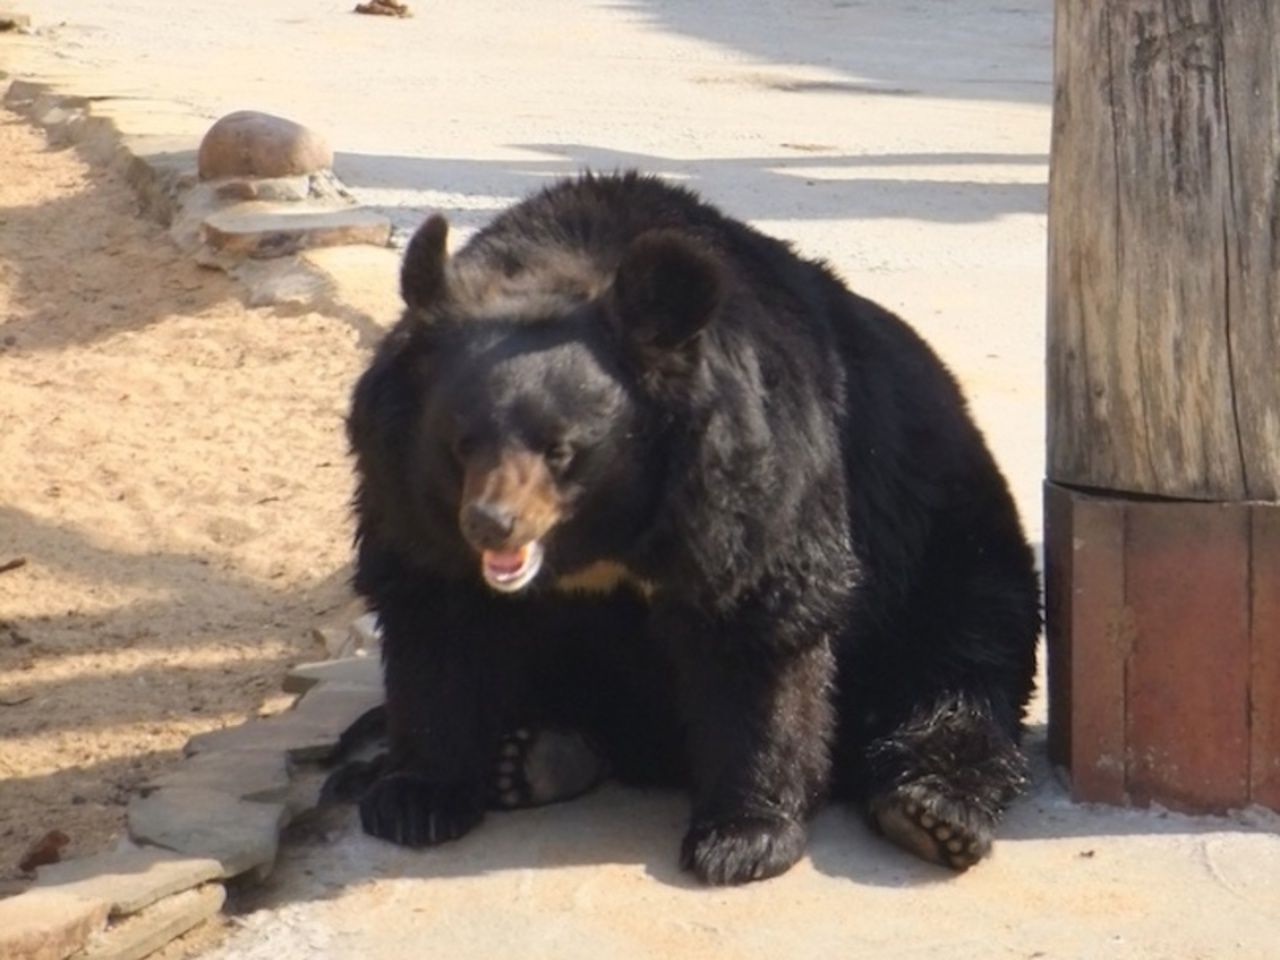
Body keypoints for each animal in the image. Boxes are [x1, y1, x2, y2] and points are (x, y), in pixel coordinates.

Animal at [340, 171, 1039, 885]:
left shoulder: (750, 476)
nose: (490, 525)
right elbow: (439, 618)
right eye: (460, 445)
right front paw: (415, 797)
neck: (601, 538)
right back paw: (528, 758)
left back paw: (931, 813)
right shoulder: (402, 489)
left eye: (562, 450)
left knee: (963, 661)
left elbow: (757, 626)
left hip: (948, 542)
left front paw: (743, 838)